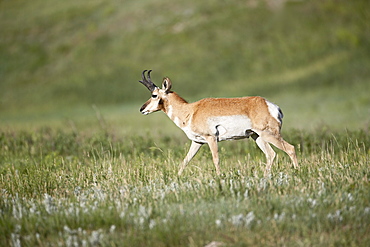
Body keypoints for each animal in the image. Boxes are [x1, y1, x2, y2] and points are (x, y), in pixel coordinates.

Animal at [139, 70, 298, 177]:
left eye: (154, 95)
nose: (142, 109)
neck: (191, 110)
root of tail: (270, 105)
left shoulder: (211, 138)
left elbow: (216, 159)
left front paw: (219, 178)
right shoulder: (197, 142)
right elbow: (185, 160)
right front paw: (176, 178)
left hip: (269, 135)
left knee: (290, 148)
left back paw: (297, 172)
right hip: (257, 137)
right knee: (271, 154)